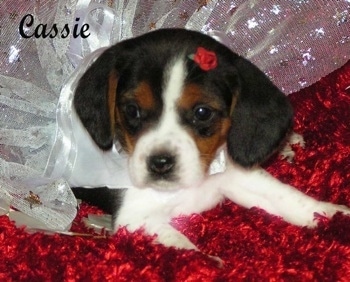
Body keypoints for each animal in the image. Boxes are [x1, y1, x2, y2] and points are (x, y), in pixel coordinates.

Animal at [72, 28, 348, 251]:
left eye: (202, 112)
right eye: (132, 110)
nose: (160, 163)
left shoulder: (235, 175)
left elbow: (289, 197)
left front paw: (333, 216)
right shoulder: (136, 218)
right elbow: (185, 249)